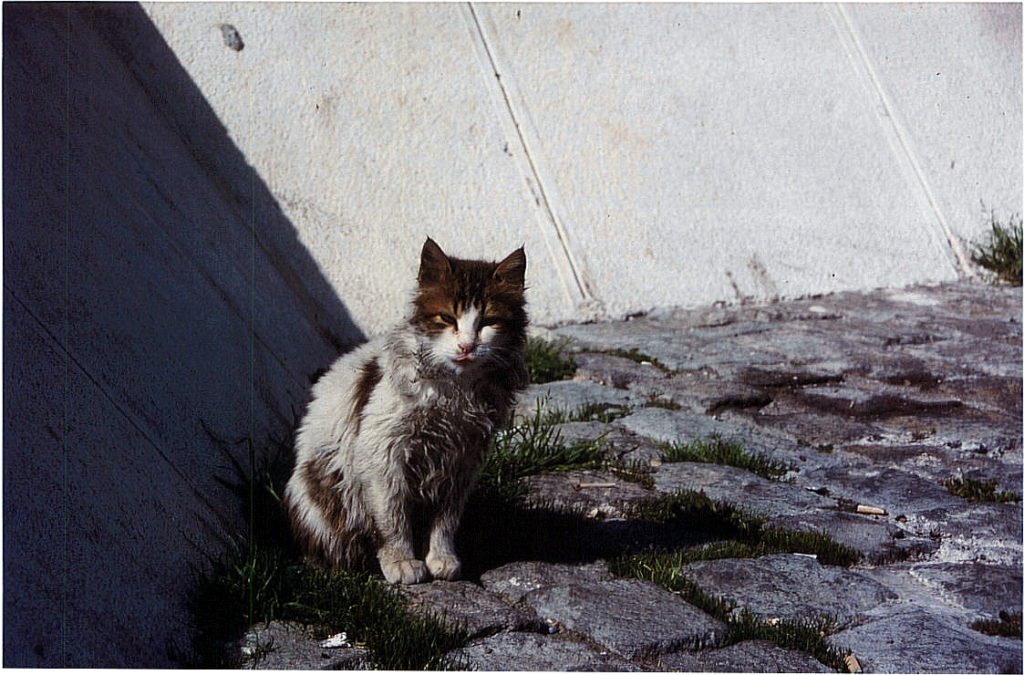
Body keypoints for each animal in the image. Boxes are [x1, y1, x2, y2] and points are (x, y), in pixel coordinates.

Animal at [286, 238, 532, 585]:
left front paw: (442, 559)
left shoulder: (461, 462)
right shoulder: (383, 455)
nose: (467, 347)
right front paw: (401, 562)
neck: (454, 394)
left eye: (488, 322)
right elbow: (393, 519)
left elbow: (444, 522)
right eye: (447, 318)